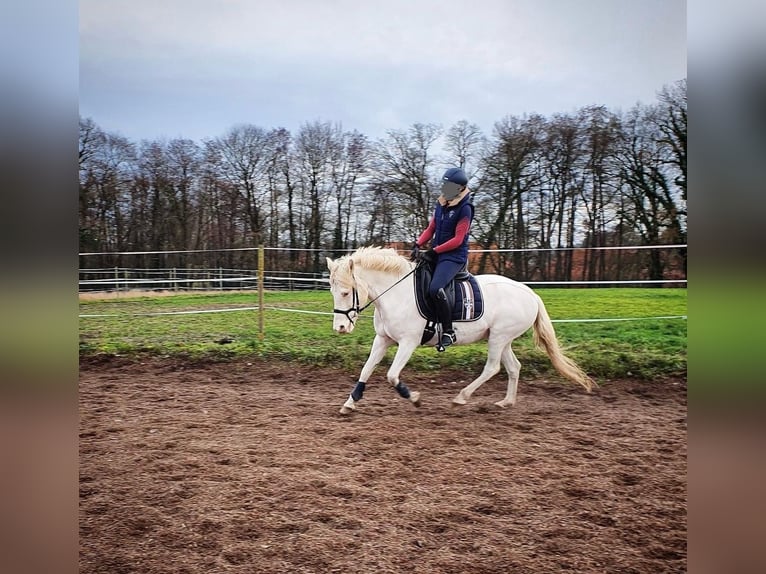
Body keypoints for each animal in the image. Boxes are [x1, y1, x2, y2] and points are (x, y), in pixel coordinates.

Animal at [324, 246, 592, 414]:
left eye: (346, 292)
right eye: (332, 291)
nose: (340, 327)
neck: (396, 293)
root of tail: (530, 294)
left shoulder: (408, 343)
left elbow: (391, 375)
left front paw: (414, 398)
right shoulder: (383, 340)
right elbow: (366, 369)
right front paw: (349, 403)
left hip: (499, 337)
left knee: (492, 368)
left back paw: (461, 398)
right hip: (502, 339)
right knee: (513, 367)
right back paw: (505, 402)